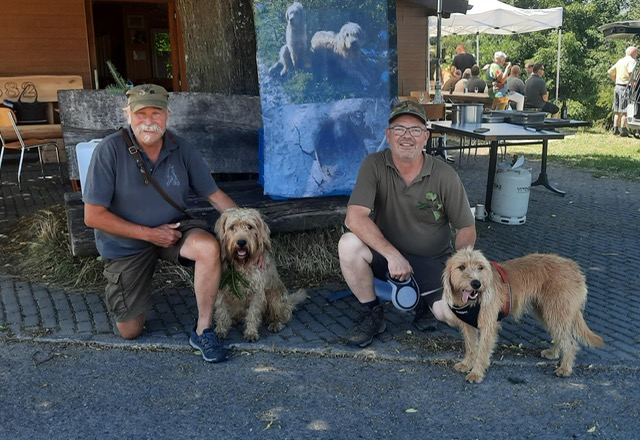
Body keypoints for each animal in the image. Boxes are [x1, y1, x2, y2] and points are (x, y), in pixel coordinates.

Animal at [212, 208, 308, 342]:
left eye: (249, 227)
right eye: (232, 227)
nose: (241, 242)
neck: (241, 264)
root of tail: (289, 301)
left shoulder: (257, 291)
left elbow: (253, 313)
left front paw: (251, 333)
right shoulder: (221, 289)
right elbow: (221, 311)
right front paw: (221, 330)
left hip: (275, 298)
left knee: (284, 315)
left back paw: (276, 323)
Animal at [442, 246, 604, 384]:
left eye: (480, 267)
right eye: (461, 267)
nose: (476, 283)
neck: (472, 303)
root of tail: (574, 268)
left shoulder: (488, 325)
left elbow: (482, 351)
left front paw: (476, 373)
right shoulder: (468, 326)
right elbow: (470, 346)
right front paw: (467, 364)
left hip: (556, 312)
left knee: (570, 342)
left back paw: (565, 368)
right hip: (546, 313)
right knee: (561, 336)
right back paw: (553, 352)